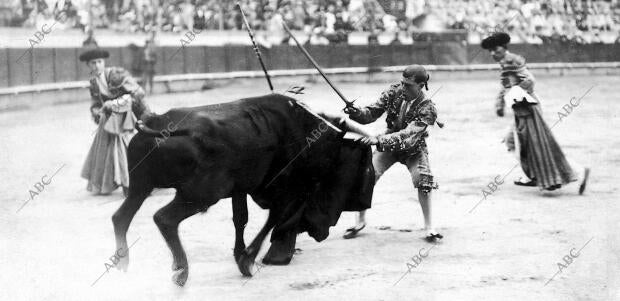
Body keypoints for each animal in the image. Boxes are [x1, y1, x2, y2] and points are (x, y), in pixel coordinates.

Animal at [109, 94, 376, 286]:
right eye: (363, 168)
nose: (365, 202)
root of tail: (163, 124)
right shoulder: (284, 190)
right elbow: (275, 219)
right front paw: (246, 260)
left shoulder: (240, 190)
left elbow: (241, 219)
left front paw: (240, 254)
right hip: (202, 194)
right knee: (163, 218)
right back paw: (182, 271)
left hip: (141, 186)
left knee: (121, 216)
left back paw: (123, 264)